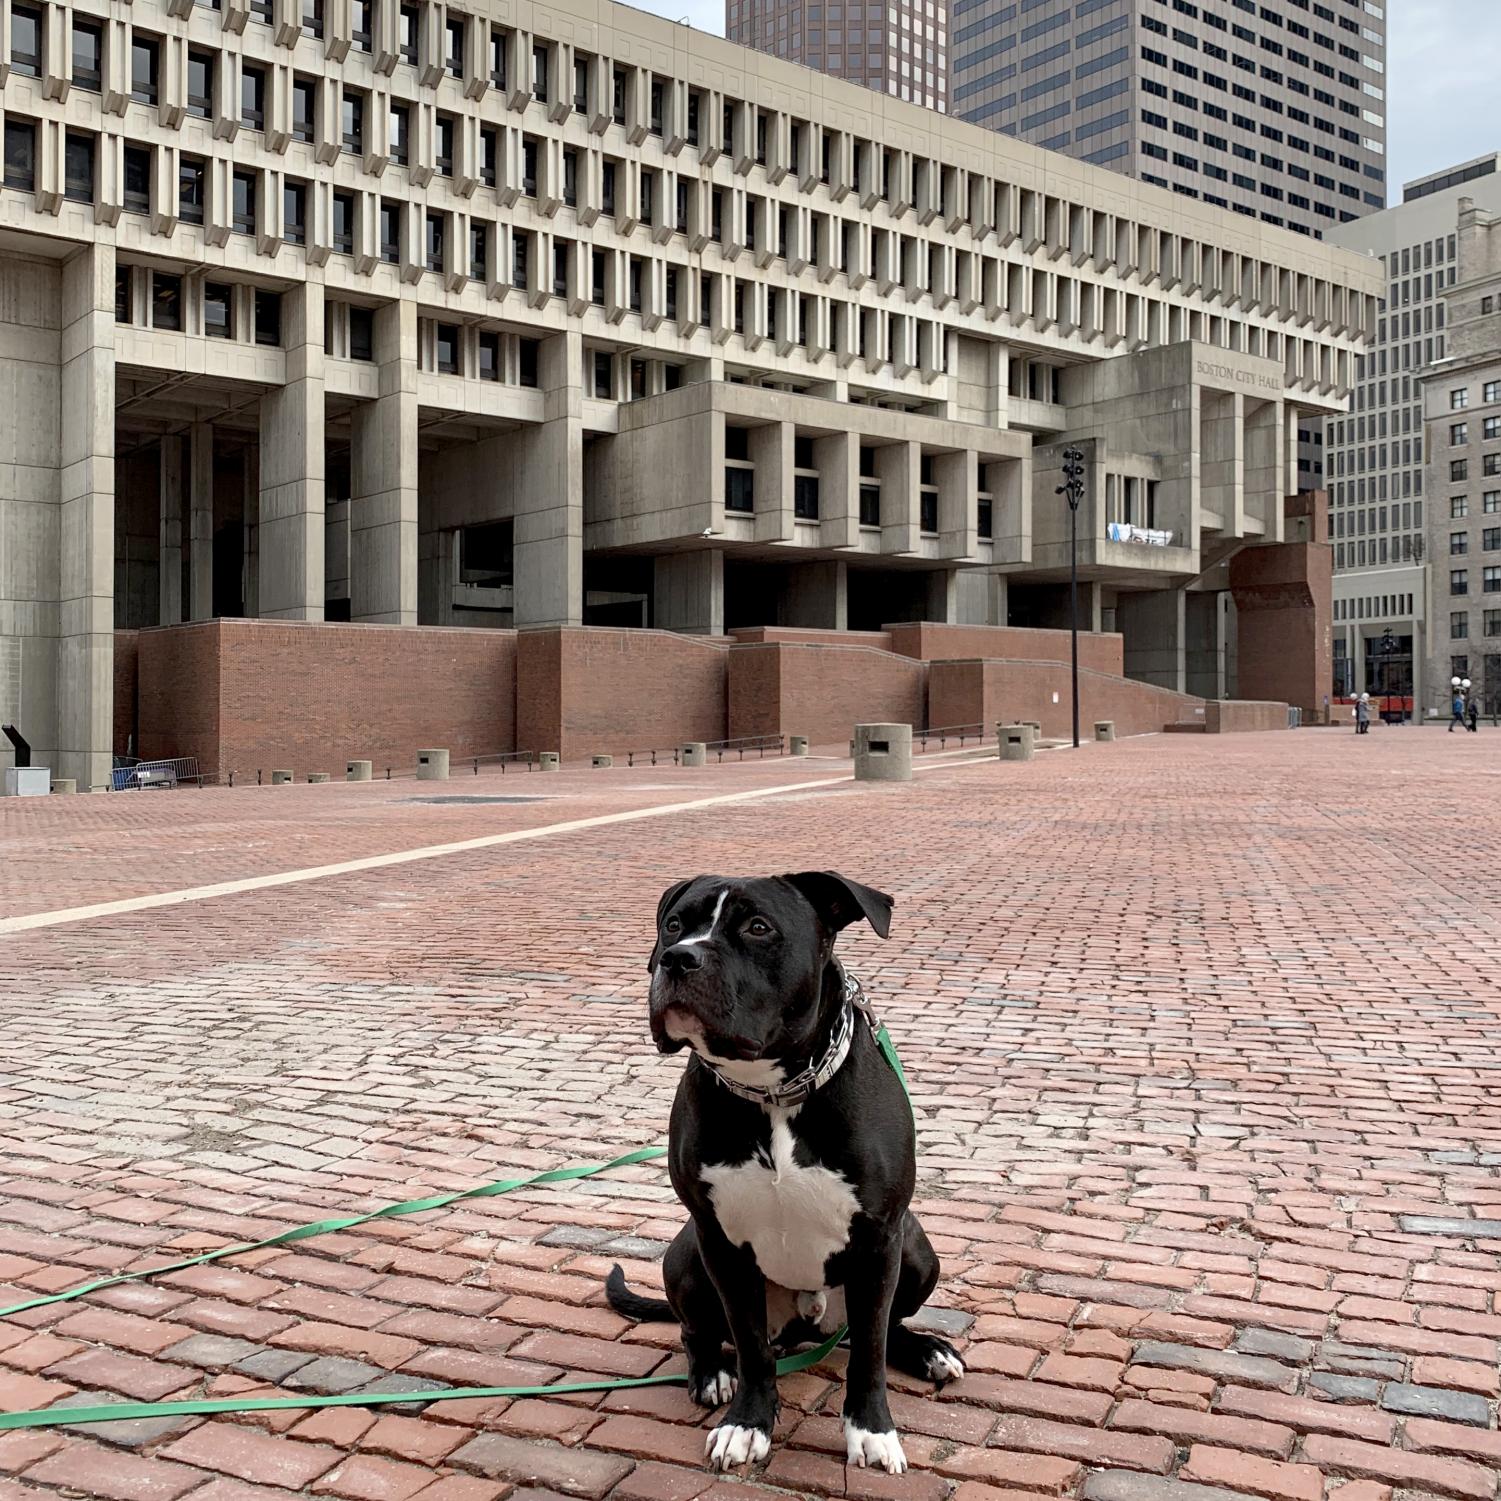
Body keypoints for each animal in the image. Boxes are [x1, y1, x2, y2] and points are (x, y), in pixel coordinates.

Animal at [606, 876, 966, 1470]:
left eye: (758, 928)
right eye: (674, 925)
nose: (679, 958)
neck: (771, 1090)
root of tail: (805, 1328)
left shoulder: (879, 1239)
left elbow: (870, 1348)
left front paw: (871, 1430)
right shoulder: (720, 1241)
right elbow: (751, 1347)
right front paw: (747, 1425)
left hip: (917, 1252)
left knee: (882, 1326)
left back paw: (928, 1350)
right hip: (686, 1255)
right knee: (699, 1331)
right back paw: (711, 1373)